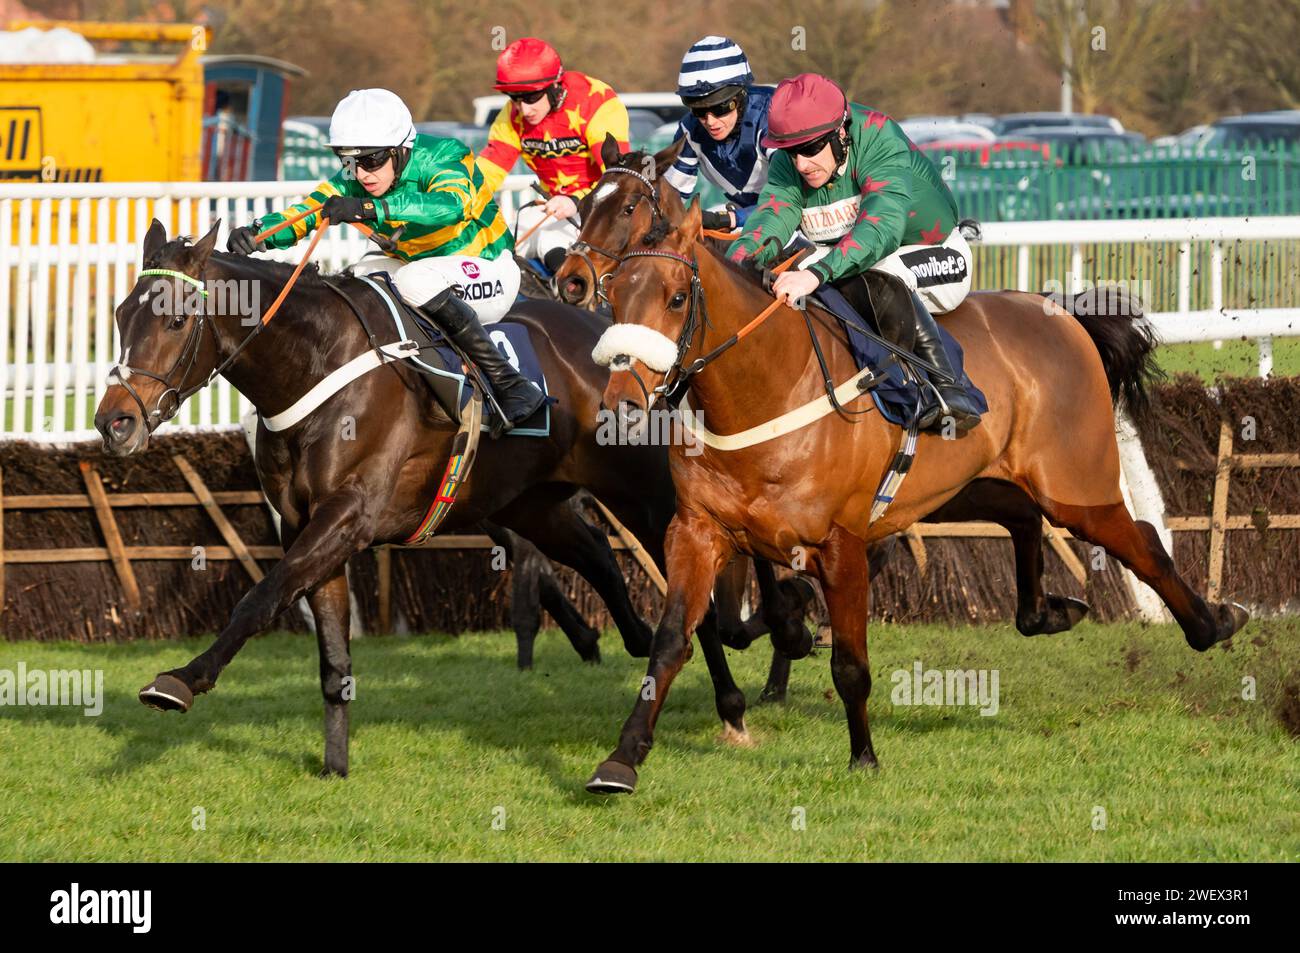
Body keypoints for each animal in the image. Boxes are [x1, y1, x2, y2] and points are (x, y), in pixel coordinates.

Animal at [91, 221, 790, 774]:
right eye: (123, 315)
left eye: (175, 320)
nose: (114, 422)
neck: (317, 362)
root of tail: (621, 343)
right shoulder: (307, 526)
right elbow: (331, 654)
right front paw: (335, 767)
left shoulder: (348, 516)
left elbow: (261, 596)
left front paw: (181, 680)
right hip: (528, 502)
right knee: (596, 551)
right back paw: (633, 638)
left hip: (647, 500)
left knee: (693, 605)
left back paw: (731, 705)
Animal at [582, 197, 1248, 790]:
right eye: (612, 295)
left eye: (675, 297)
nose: (621, 405)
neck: (766, 389)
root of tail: (1060, 311)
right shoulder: (698, 531)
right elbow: (671, 643)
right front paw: (622, 759)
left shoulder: (840, 545)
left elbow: (850, 665)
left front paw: (863, 758)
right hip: (969, 484)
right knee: (1022, 517)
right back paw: (1050, 612)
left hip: (1075, 486)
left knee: (1141, 542)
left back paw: (1214, 622)